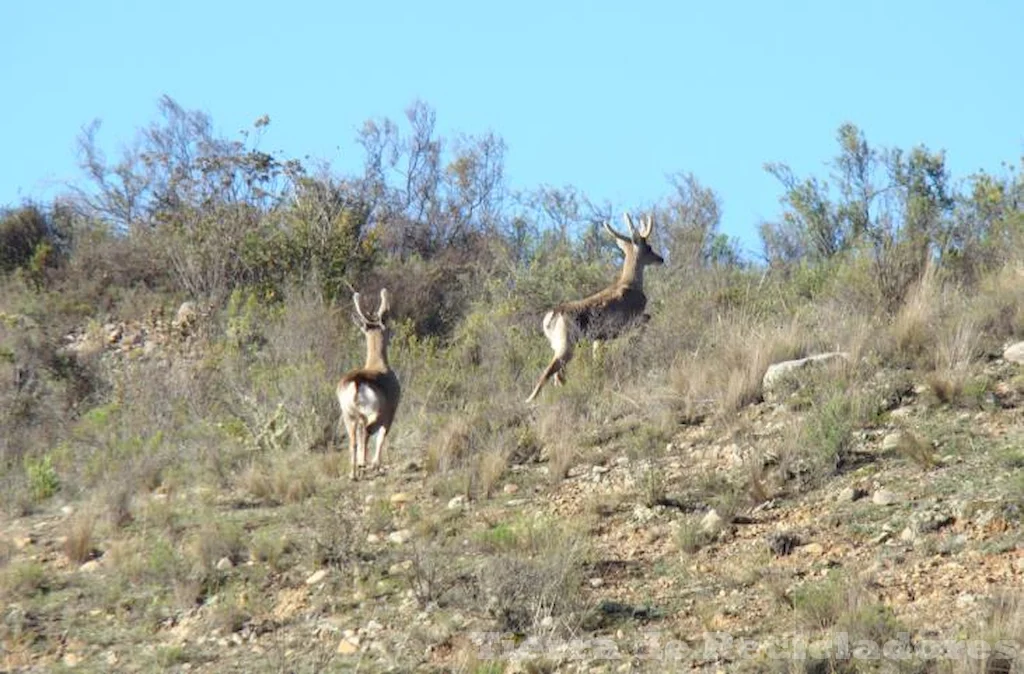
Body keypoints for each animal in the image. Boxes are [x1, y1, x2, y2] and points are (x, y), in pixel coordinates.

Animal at [335, 286, 399, 477]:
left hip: (348, 414)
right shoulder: (390, 412)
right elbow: (382, 437)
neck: (378, 364)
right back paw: (365, 465)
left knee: (353, 440)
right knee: (368, 431)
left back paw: (353, 473)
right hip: (373, 412)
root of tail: (356, 382)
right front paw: (376, 464)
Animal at [524, 211, 667, 399]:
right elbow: (647, 318)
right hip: (566, 343)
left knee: (557, 375)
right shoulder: (629, 319)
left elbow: (597, 357)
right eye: (649, 247)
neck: (630, 284)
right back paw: (531, 400)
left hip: (558, 344)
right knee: (548, 372)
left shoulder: (600, 338)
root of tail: (551, 316)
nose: (661, 258)